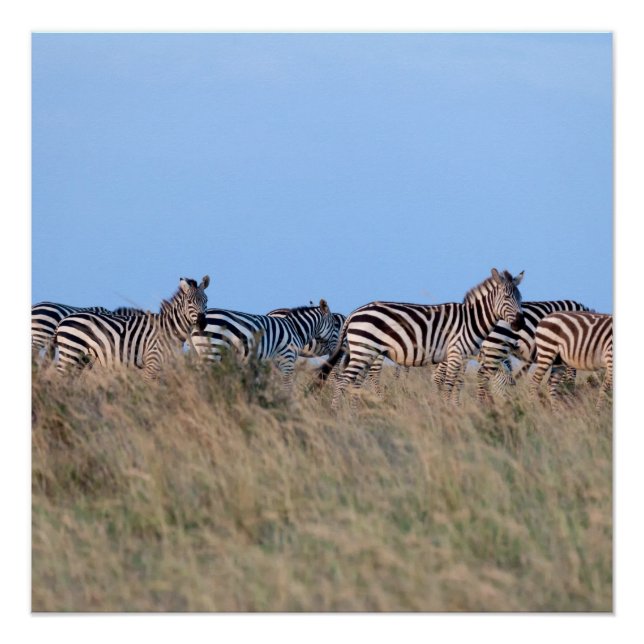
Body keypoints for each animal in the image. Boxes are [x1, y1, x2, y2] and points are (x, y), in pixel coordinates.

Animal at [54, 276, 210, 380]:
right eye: (189, 302)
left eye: (206, 301)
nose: (202, 322)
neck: (170, 329)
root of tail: (63, 320)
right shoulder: (152, 364)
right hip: (71, 353)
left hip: (82, 358)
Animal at [191, 300, 336, 389]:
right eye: (335, 325)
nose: (336, 350)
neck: (296, 329)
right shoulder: (287, 359)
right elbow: (287, 386)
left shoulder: (274, 364)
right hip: (212, 351)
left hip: (202, 351)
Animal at [319, 268, 525, 407]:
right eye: (507, 297)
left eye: (521, 298)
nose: (520, 323)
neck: (471, 320)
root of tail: (354, 313)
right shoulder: (455, 353)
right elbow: (449, 384)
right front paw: (448, 412)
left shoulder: (463, 356)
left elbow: (456, 383)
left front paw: (452, 408)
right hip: (363, 350)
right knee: (343, 381)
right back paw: (337, 413)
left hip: (365, 353)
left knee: (355, 382)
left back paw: (353, 414)